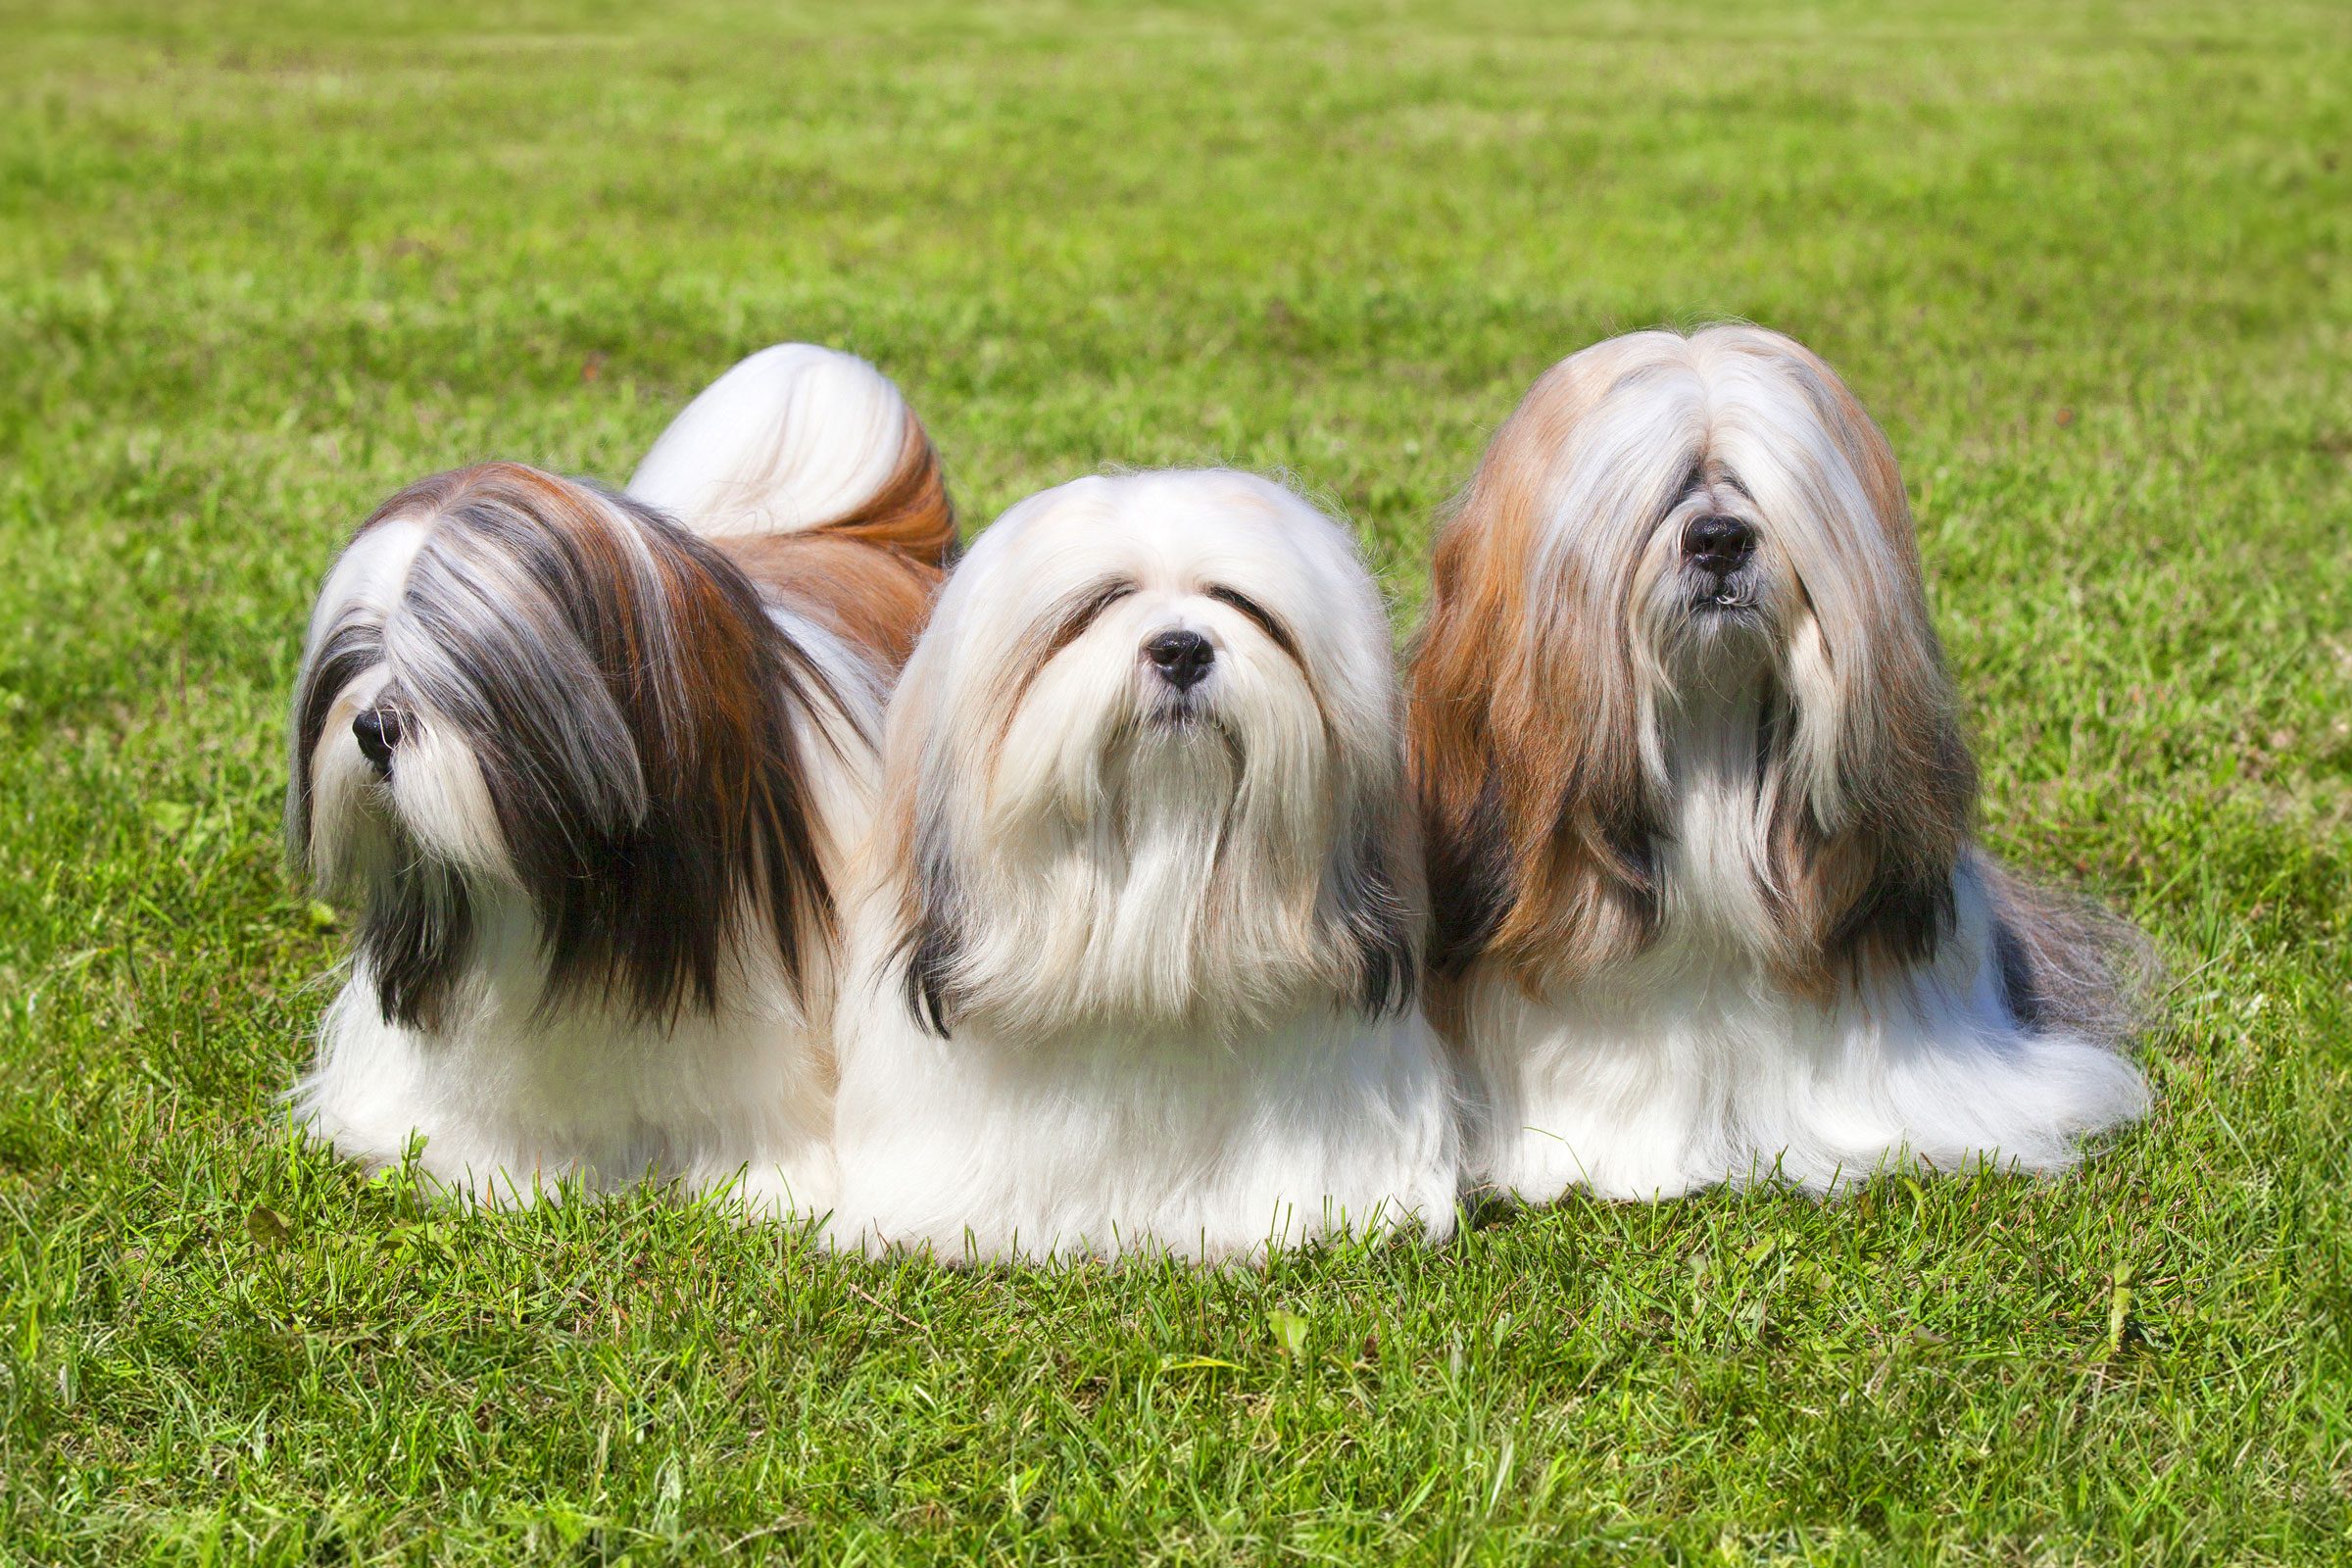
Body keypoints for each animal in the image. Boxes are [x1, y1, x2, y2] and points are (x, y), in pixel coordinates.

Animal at [289, 343, 950, 1212]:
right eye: (361, 651)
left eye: (472, 672)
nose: (371, 728)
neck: (593, 897)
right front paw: (498, 1170)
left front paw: (765, 1184)